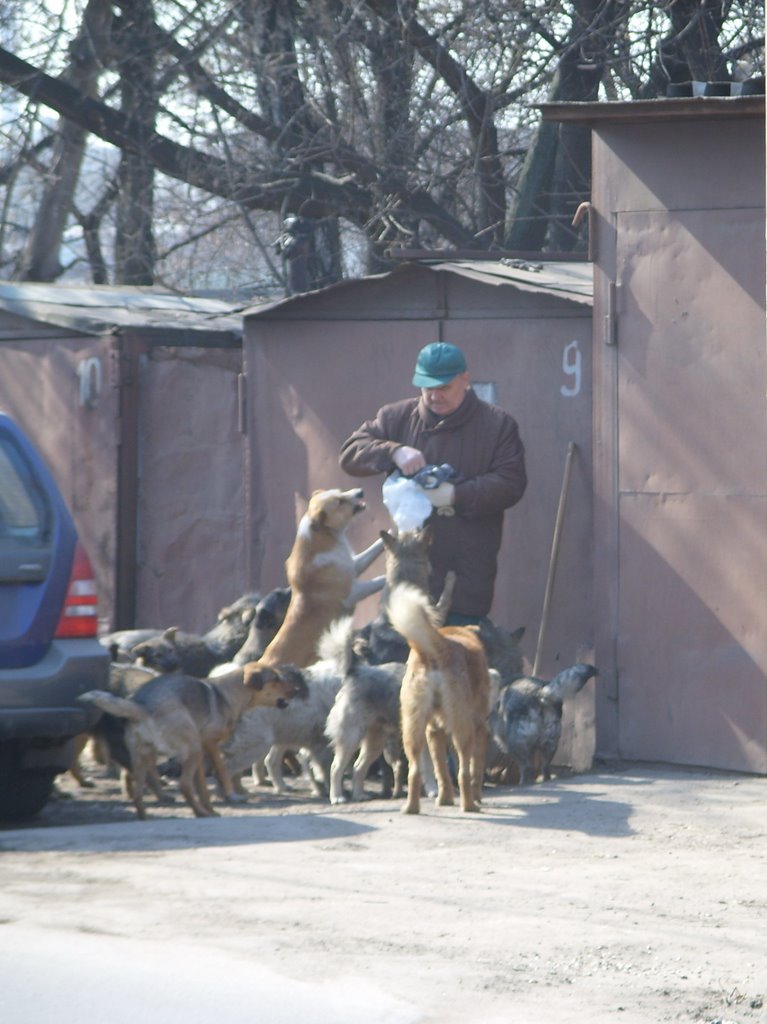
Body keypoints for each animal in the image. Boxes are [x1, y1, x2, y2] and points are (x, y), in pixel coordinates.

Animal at [78, 659, 303, 819]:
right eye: (275, 679)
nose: (297, 690)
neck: (229, 694)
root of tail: (143, 707)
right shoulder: (208, 746)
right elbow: (220, 773)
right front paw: (227, 798)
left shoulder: (203, 752)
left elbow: (202, 786)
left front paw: (211, 809)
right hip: (190, 749)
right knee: (183, 785)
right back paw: (198, 813)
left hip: (144, 756)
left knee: (139, 792)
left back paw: (147, 817)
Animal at [260, 489, 382, 671]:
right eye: (339, 502)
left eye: (341, 492)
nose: (360, 492)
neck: (324, 536)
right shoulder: (352, 593)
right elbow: (379, 580)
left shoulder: (354, 565)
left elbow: (375, 547)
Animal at [385, 585, 493, 815]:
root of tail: (437, 646)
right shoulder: (480, 728)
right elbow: (476, 769)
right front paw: (476, 796)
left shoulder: (433, 731)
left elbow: (441, 770)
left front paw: (444, 799)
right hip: (464, 730)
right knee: (464, 771)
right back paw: (470, 806)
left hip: (413, 729)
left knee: (414, 771)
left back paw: (411, 807)